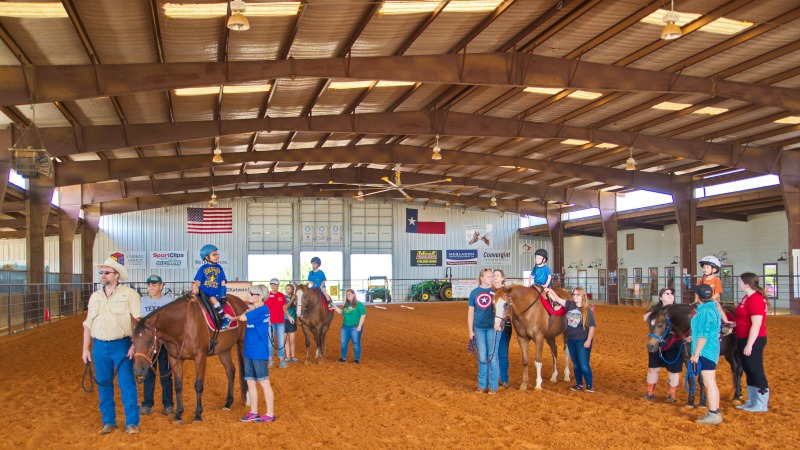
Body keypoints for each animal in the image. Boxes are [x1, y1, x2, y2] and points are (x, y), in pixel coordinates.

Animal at [131, 294, 247, 424]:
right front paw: (178, 414)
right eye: (132, 340)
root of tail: (242, 303)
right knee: (230, 371)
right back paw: (228, 403)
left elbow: (198, 386)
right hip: (223, 350)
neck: (183, 326)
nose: (138, 370)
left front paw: (197, 415)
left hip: (242, 344)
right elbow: (178, 386)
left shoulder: (200, 357)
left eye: (150, 340)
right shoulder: (174, 359)